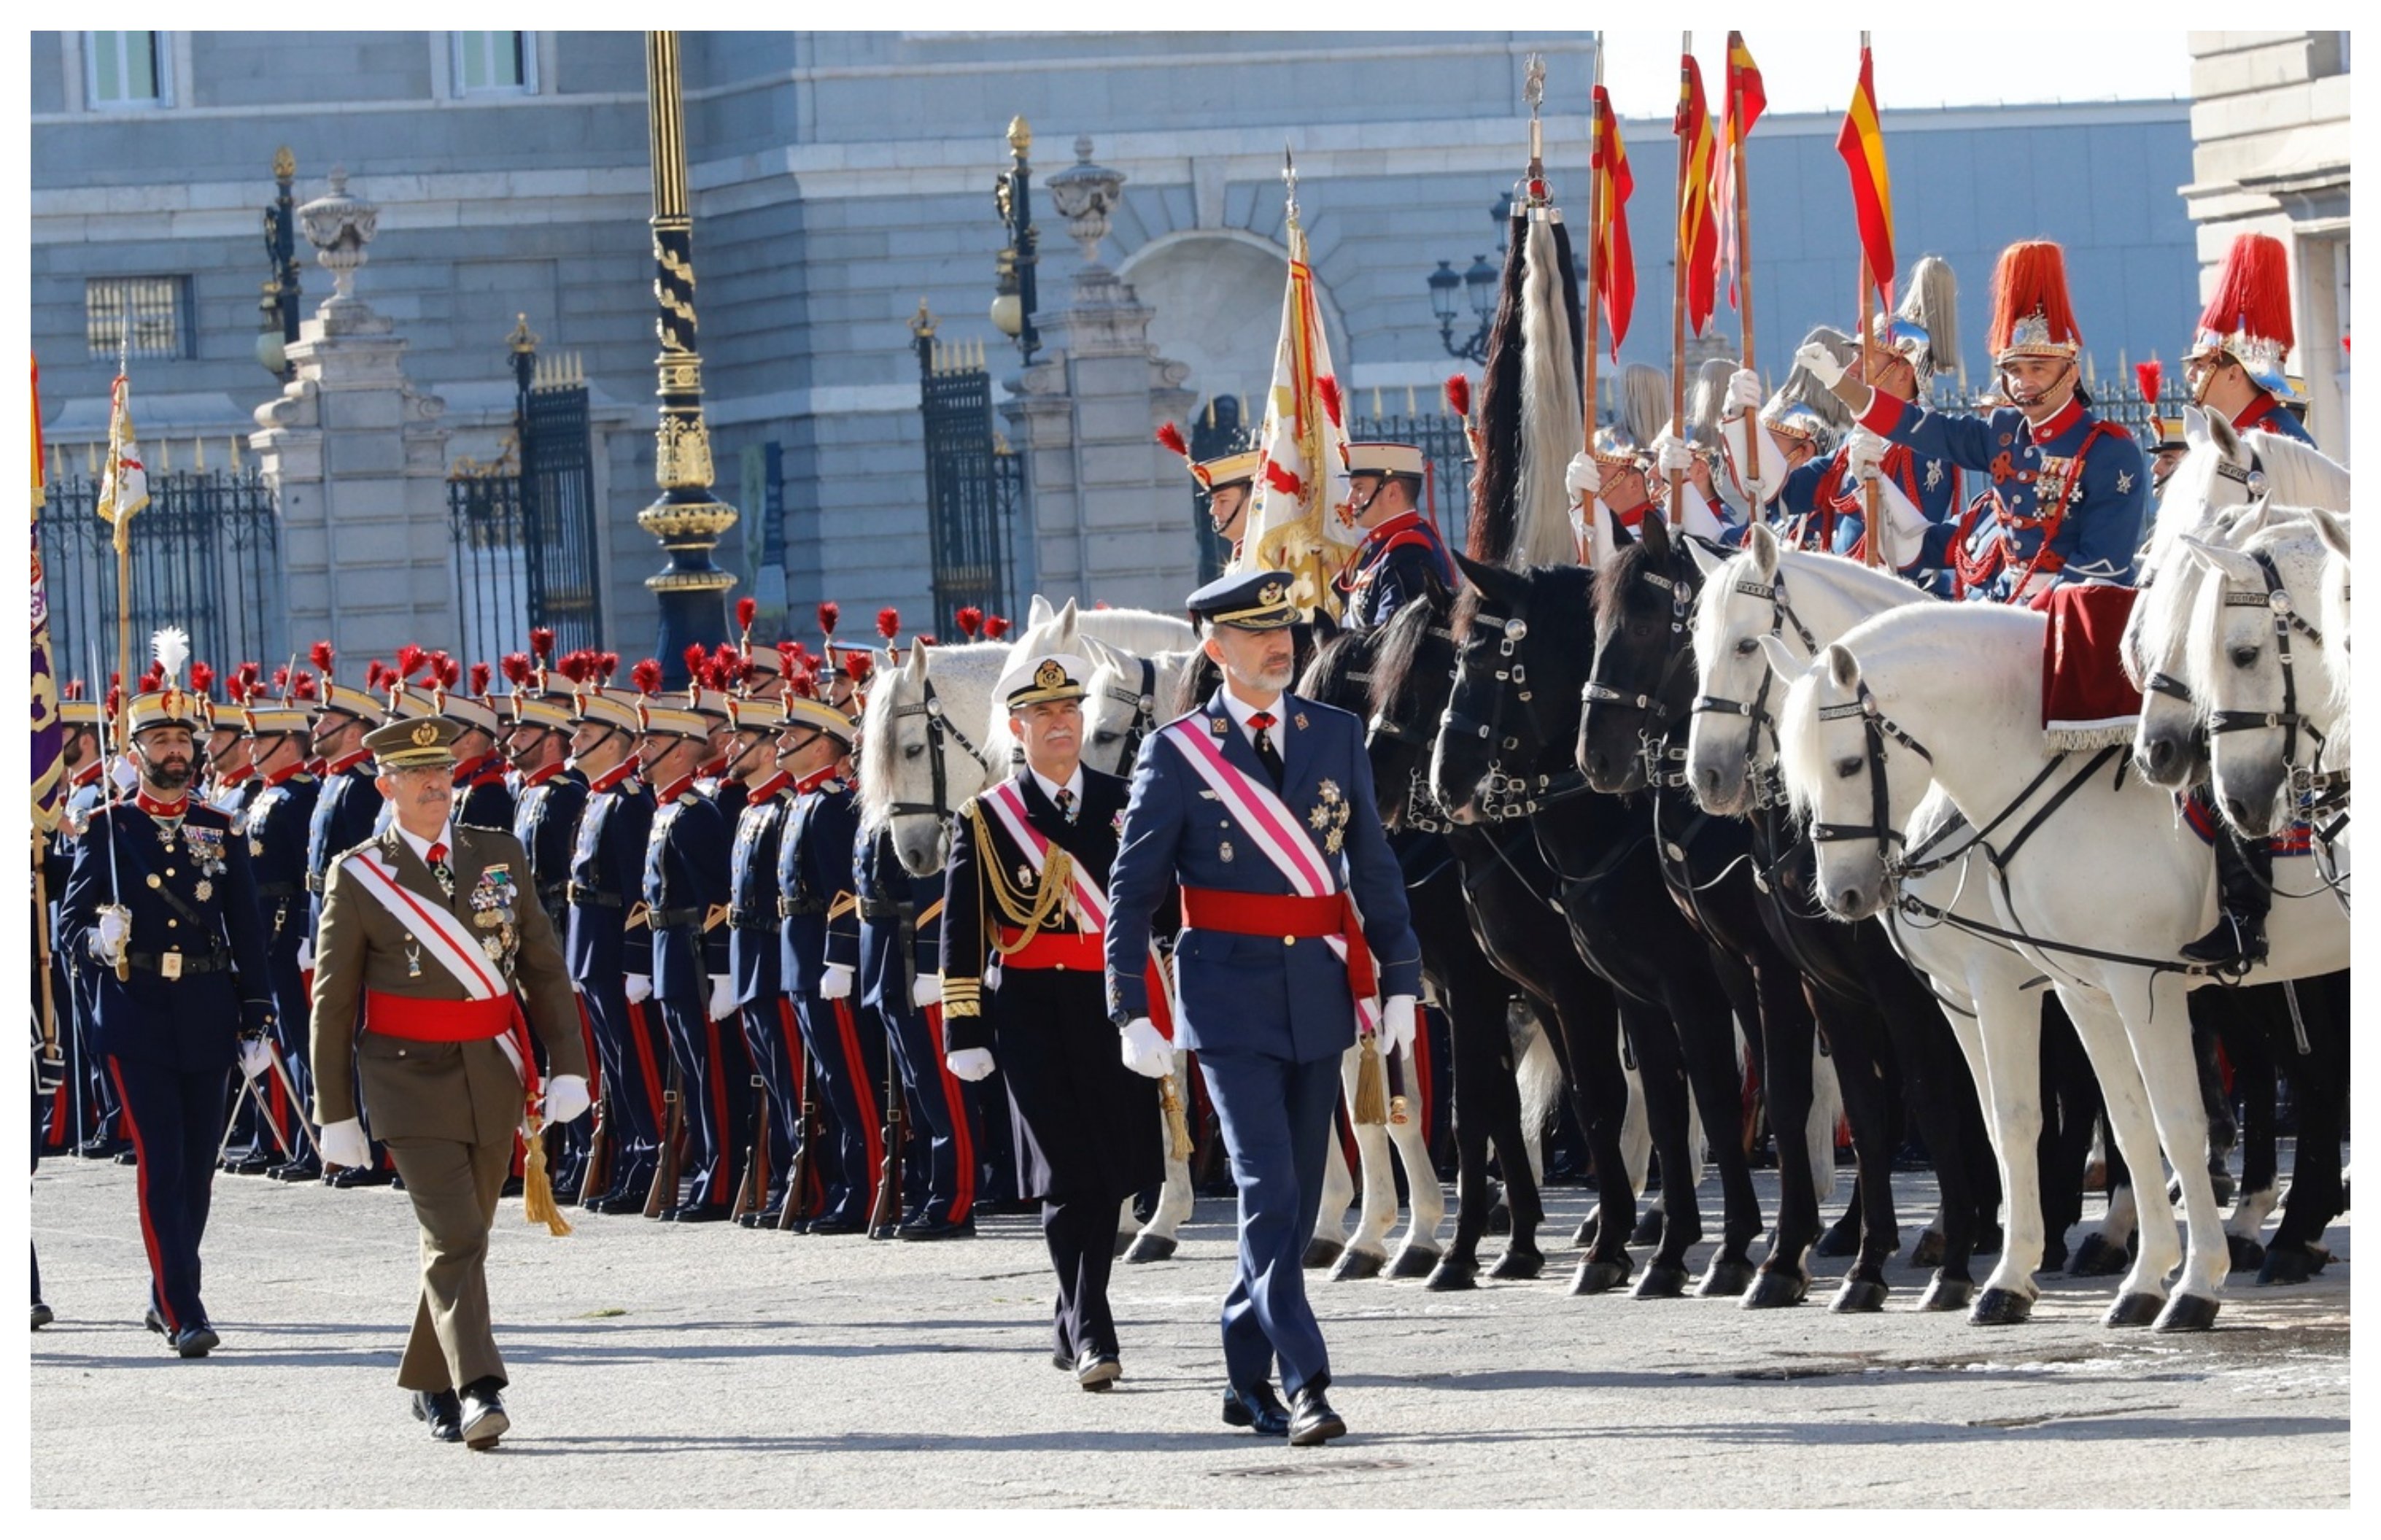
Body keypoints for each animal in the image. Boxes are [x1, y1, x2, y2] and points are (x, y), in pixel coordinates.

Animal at [1781, 602, 2352, 1333]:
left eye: (1850, 764)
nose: (1842, 894)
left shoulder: (2123, 984)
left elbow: (2171, 1120)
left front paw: (2194, 1284)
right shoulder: (2077, 990)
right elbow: (2117, 1123)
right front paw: (2129, 1279)